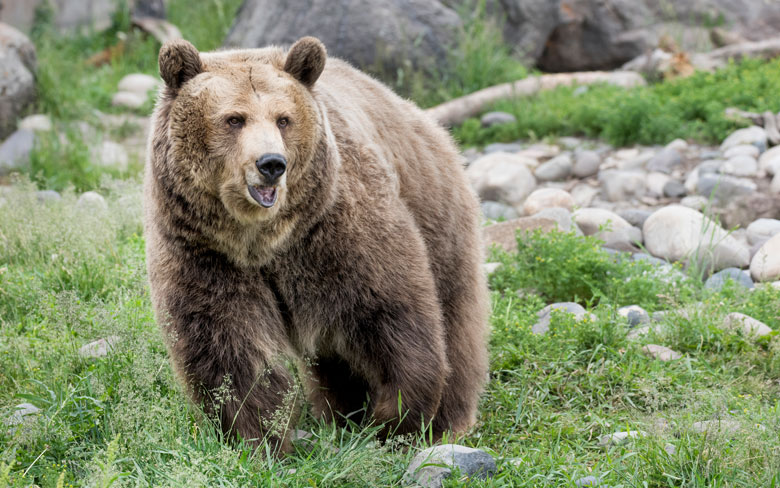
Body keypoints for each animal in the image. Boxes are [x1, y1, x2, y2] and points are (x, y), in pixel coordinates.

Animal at [145, 36, 488, 452]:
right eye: (234, 118)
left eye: (283, 118)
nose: (271, 163)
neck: (262, 239)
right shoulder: (202, 250)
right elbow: (228, 346)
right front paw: (260, 437)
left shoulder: (335, 231)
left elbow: (391, 312)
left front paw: (396, 421)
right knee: (332, 359)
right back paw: (341, 413)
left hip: (437, 216)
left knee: (455, 317)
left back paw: (448, 419)